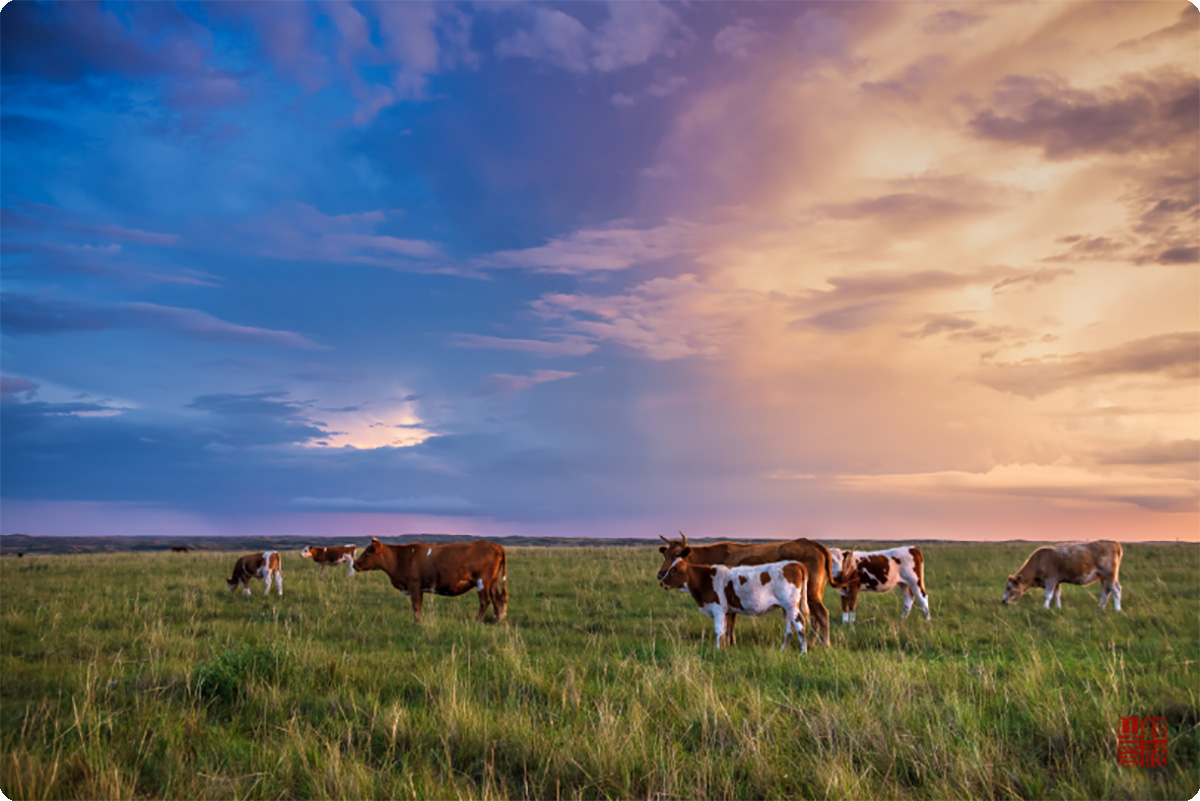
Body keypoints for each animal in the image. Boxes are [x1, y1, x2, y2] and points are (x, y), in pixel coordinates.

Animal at [352, 537, 508, 623]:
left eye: (368, 551)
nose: (355, 564)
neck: (400, 558)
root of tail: (494, 544)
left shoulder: (414, 585)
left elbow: (416, 606)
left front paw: (416, 622)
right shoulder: (418, 588)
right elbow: (419, 605)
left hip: (483, 581)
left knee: (485, 601)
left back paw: (477, 621)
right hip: (493, 581)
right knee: (498, 599)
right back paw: (495, 620)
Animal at [662, 556, 811, 652]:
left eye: (673, 570)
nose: (662, 582)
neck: (705, 578)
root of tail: (793, 563)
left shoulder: (718, 608)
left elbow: (719, 630)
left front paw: (718, 650)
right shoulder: (727, 611)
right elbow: (725, 631)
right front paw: (724, 648)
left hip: (791, 605)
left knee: (800, 624)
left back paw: (803, 652)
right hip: (786, 608)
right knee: (789, 629)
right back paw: (783, 649)